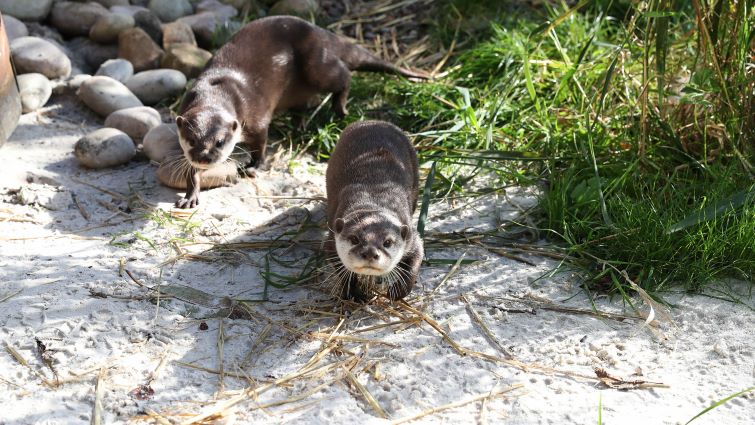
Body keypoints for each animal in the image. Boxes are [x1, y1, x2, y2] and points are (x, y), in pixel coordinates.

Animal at [173, 15, 427, 208]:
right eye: (192, 140)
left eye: (220, 142)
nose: (204, 157)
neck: (218, 91)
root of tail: (320, 32)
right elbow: (190, 170)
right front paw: (190, 194)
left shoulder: (256, 120)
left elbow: (261, 145)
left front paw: (254, 166)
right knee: (303, 104)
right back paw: (300, 125)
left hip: (318, 65)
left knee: (344, 75)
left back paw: (340, 109)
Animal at [325, 120, 423, 301]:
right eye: (354, 239)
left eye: (388, 242)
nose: (371, 253)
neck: (374, 199)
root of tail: (373, 121)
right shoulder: (330, 241)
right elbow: (343, 271)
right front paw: (354, 293)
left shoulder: (412, 238)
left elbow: (415, 261)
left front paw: (398, 291)